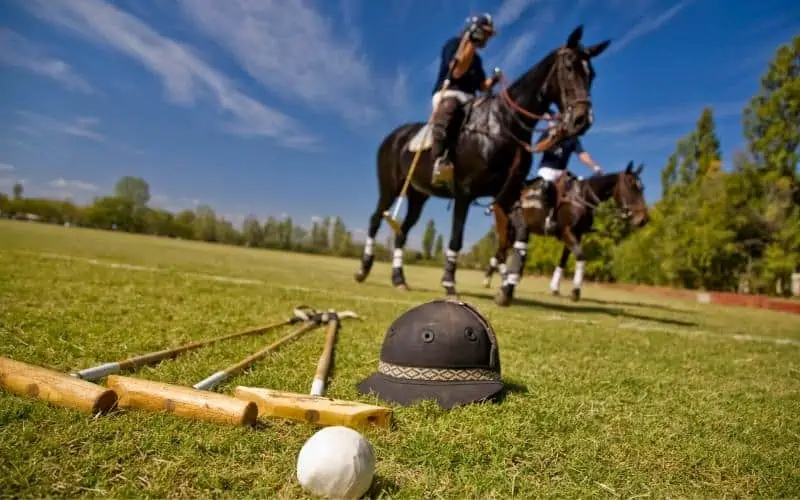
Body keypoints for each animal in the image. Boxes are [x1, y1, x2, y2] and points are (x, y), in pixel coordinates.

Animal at [353, 25, 612, 299]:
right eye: (569, 67)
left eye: (592, 75)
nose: (582, 120)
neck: (505, 125)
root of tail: (393, 136)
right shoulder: (464, 193)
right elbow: (457, 238)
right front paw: (449, 283)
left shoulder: (507, 196)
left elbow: (520, 236)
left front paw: (508, 286)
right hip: (390, 186)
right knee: (376, 219)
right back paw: (363, 269)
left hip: (417, 195)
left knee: (402, 231)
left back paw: (399, 278)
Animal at [484, 161, 650, 305]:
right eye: (631, 185)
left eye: (642, 188)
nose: (643, 219)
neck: (582, 198)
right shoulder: (567, 231)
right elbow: (581, 256)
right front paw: (575, 291)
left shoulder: (576, 234)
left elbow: (563, 260)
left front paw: (555, 288)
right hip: (505, 226)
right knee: (501, 253)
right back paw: (498, 280)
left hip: (515, 230)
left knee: (500, 252)